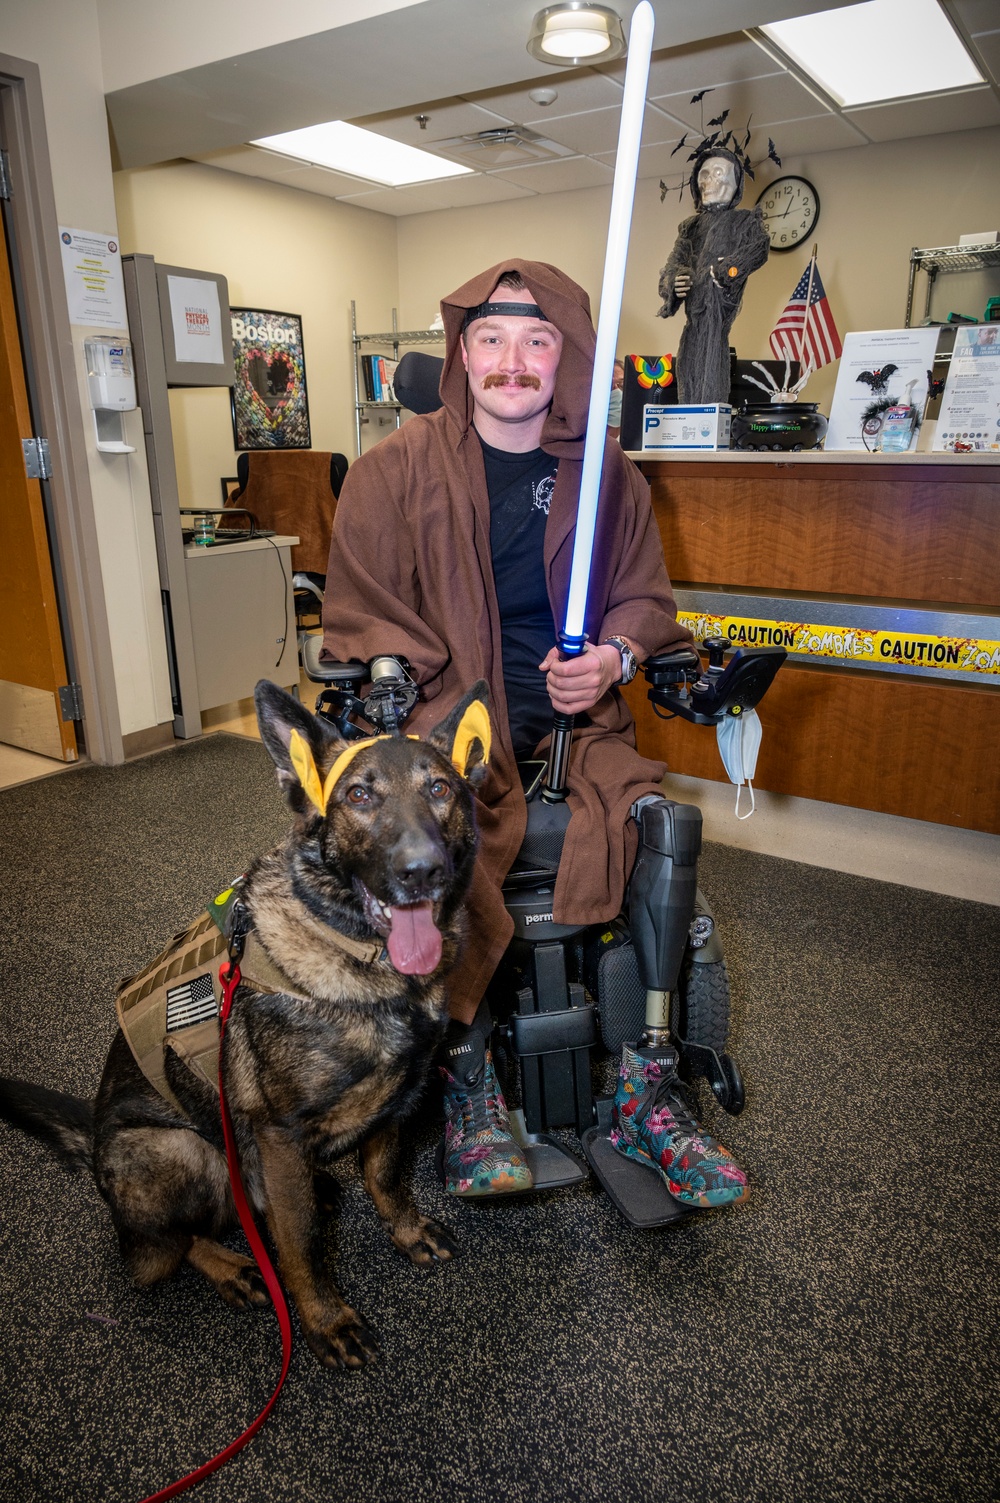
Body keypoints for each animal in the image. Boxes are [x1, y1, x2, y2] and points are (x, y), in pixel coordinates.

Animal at [0, 682, 490, 1376]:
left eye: (440, 788)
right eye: (358, 797)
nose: (421, 871)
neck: (360, 961)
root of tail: (94, 1144)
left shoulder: (400, 1098)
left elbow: (387, 1176)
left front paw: (405, 1229)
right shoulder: (279, 1132)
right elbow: (303, 1246)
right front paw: (325, 1321)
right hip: (186, 1150)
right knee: (161, 1249)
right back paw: (233, 1265)